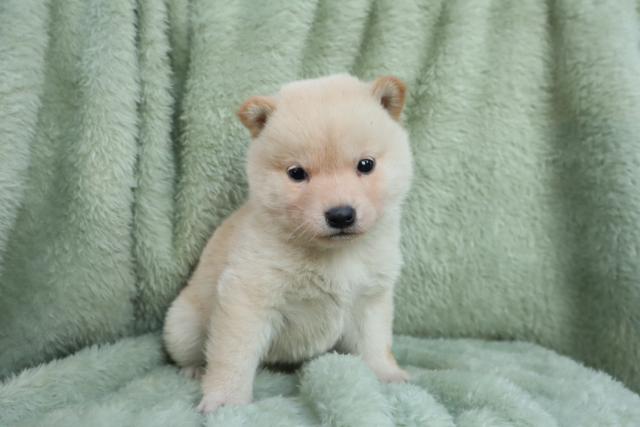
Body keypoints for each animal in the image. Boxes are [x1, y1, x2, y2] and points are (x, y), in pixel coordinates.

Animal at [163, 74, 413, 413]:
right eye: (297, 173)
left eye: (365, 165)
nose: (340, 215)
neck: (335, 255)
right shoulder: (248, 298)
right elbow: (232, 357)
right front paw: (226, 400)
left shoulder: (370, 299)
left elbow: (375, 343)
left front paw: (387, 375)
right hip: (184, 325)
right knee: (190, 351)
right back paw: (194, 370)